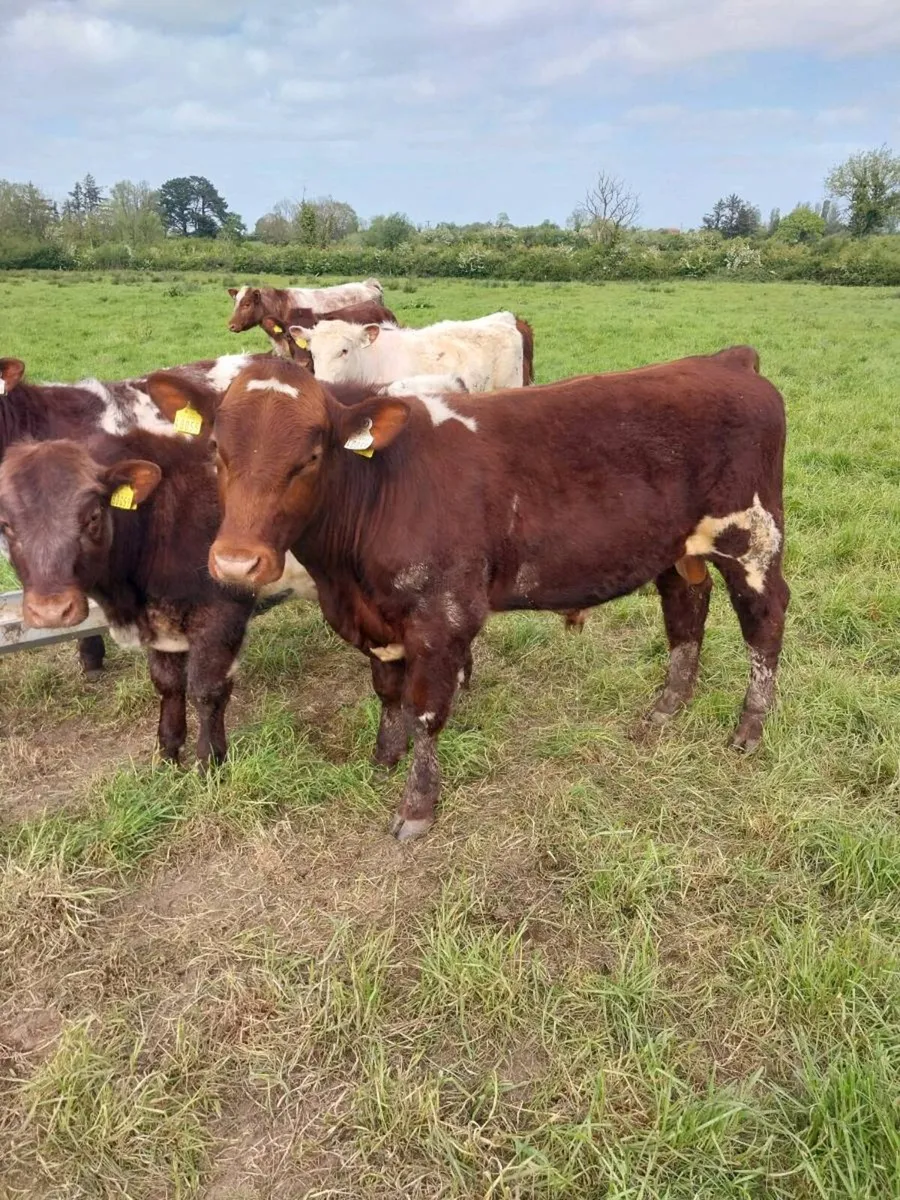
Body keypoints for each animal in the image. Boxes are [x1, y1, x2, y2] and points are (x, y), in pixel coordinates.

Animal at [0, 430, 294, 766]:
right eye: (5, 524)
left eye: (93, 516)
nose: (51, 610)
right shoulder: (160, 620)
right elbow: (168, 684)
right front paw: (168, 753)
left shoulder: (223, 612)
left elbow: (206, 690)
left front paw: (209, 762)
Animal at [145, 348, 789, 842]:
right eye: (218, 451)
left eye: (310, 456)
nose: (236, 561)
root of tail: (725, 360)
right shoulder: (382, 619)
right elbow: (388, 692)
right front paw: (384, 758)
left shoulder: (443, 614)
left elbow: (427, 709)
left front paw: (416, 807)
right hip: (678, 549)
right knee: (686, 610)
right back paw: (667, 707)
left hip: (752, 539)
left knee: (764, 620)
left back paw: (749, 729)